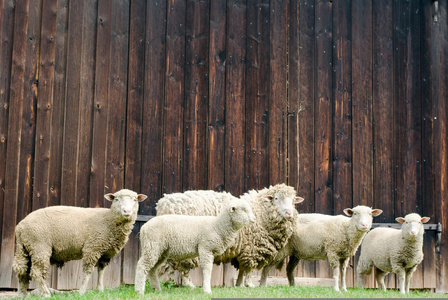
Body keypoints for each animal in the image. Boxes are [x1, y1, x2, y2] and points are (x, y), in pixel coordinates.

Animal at [12, 189, 147, 296]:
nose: (127, 211)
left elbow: (101, 271)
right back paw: (46, 294)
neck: (109, 220)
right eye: (117, 199)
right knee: (37, 272)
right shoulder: (92, 248)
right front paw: (82, 292)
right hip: (39, 246)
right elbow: (88, 272)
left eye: (135, 199)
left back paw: (23, 294)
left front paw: (100, 290)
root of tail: (20, 226)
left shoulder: (105, 253)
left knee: (23, 271)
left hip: (26, 248)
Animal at [154, 184, 304, 288]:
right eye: (276, 198)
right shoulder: (253, 248)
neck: (261, 211)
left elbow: (242, 268)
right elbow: (249, 269)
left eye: (293, 201)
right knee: (182, 267)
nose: (289, 213)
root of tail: (163, 204)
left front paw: (239, 284)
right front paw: (249, 284)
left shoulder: (244, 249)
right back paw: (187, 285)